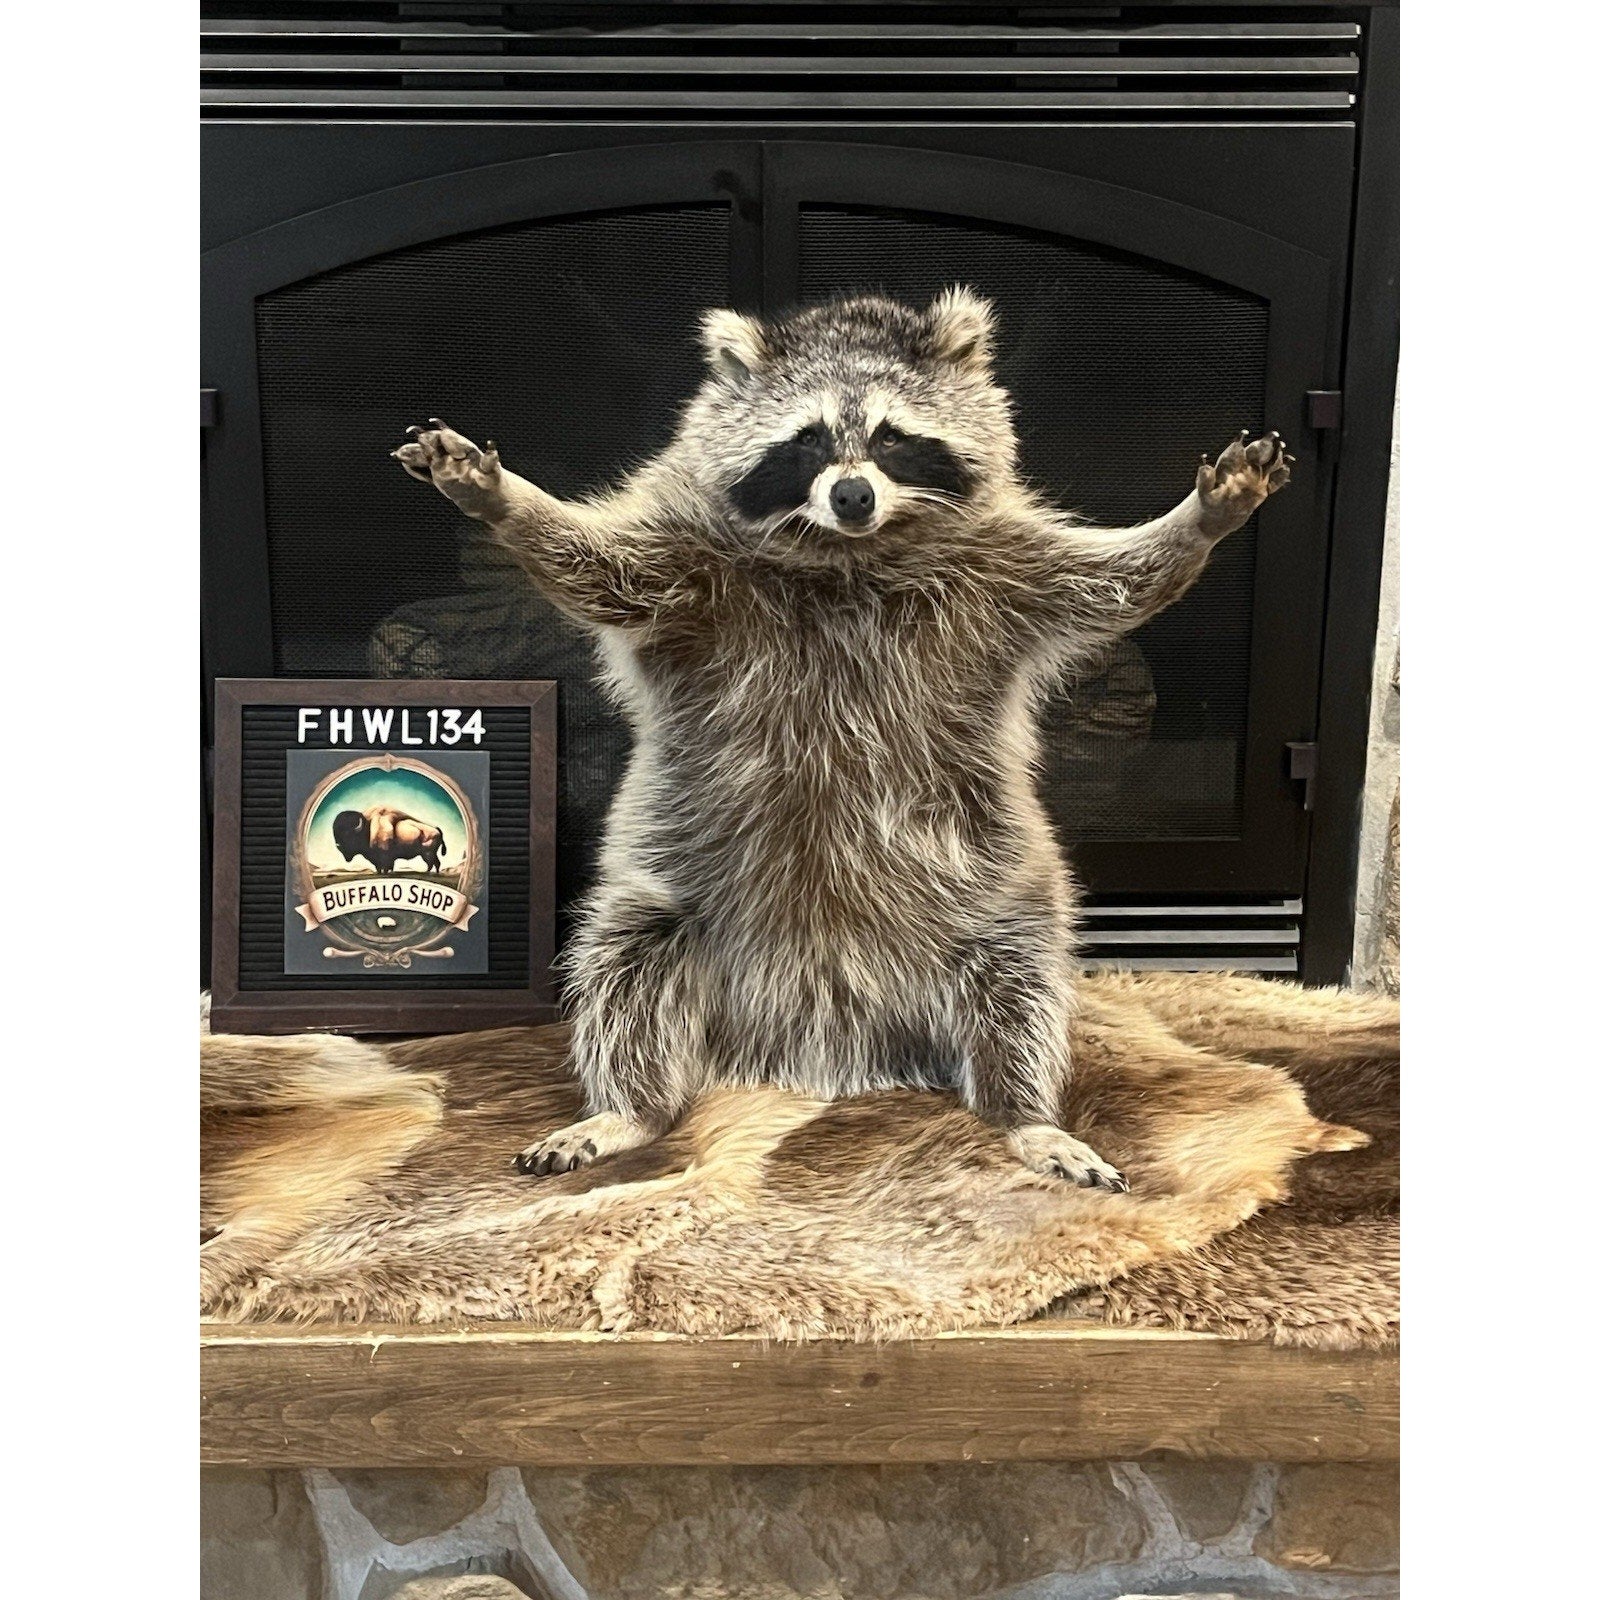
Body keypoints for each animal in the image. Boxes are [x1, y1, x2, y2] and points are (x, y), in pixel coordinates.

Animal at [394, 289, 1290, 1190]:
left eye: (893, 437)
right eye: (810, 439)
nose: (853, 495)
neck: (846, 555)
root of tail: (825, 1047)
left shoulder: (1008, 570)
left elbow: (1115, 582)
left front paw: (1198, 523)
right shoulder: (688, 563)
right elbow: (595, 565)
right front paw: (507, 503)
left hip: (999, 891)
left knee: (1023, 989)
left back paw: (1025, 1114)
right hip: (668, 888)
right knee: (624, 970)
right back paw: (630, 1109)